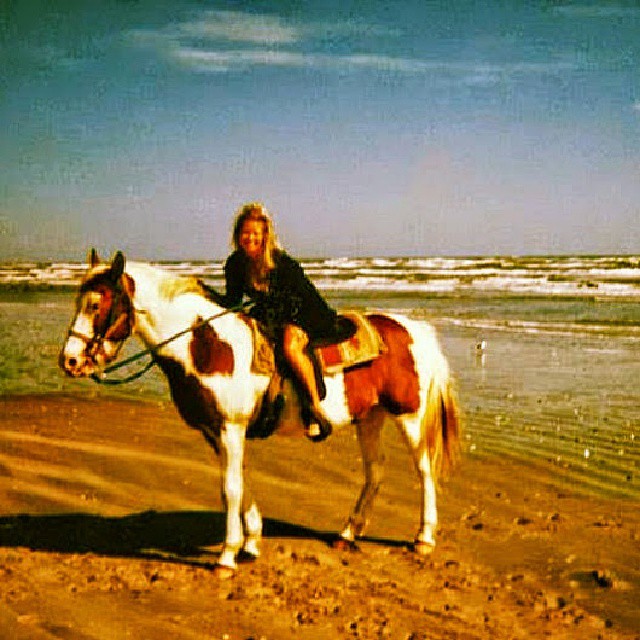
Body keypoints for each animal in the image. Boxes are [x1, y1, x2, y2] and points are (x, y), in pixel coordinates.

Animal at [59, 250, 460, 578]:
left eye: (95, 305)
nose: (70, 361)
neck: (209, 347)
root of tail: (414, 329)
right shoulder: (217, 432)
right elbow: (240, 483)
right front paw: (250, 543)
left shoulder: (230, 429)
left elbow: (230, 489)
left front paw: (227, 556)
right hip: (370, 416)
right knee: (375, 472)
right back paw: (347, 534)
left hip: (409, 415)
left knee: (424, 471)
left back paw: (423, 538)